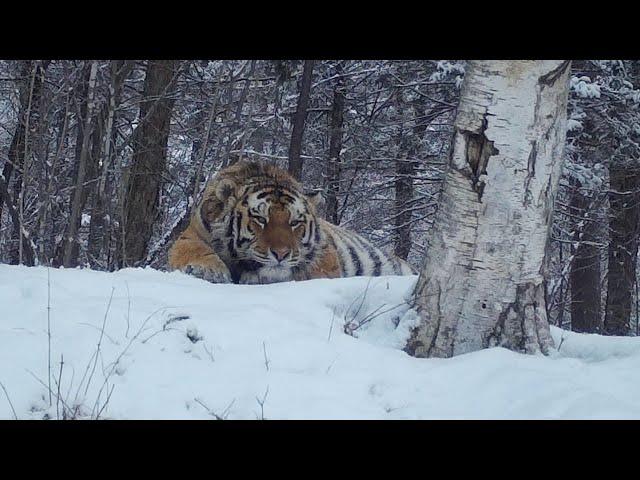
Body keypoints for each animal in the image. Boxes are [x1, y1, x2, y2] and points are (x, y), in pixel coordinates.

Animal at [168, 160, 416, 284]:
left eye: (295, 222)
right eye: (261, 218)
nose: (281, 254)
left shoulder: (324, 252)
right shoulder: (193, 232)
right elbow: (189, 248)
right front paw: (209, 271)